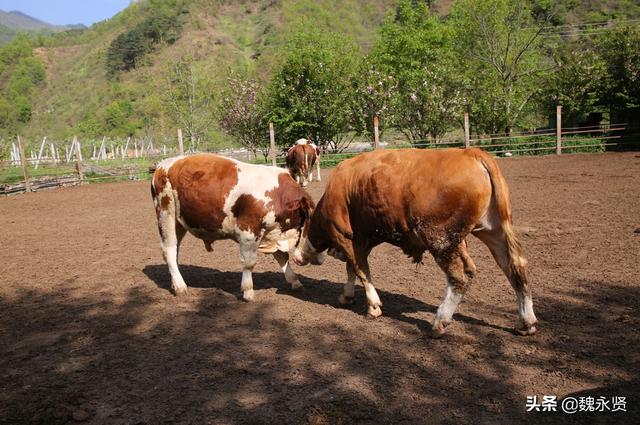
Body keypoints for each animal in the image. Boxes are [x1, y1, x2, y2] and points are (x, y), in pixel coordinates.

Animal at [151, 154, 314, 300]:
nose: (303, 258)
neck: (277, 195)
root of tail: (162, 166)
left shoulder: (272, 233)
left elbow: (282, 257)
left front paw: (295, 281)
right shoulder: (248, 231)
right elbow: (249, 262)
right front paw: (248, 292)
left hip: (178, 223)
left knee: (175, 249)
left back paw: (175, 282)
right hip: (166, 214)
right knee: (169, 250)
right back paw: (180, 286)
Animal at [292, 147, 536, 336]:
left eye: (301, 231)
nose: (296, 257)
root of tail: (472, 153)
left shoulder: (346, 237)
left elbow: (360, 270)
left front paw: (373, 306)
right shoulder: (362, 240)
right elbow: (352, 269)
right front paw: (347, 295)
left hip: (440, 239)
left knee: (459, 277)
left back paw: (440, 322)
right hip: (493, 230)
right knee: (515, 266)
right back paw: (526, 322)